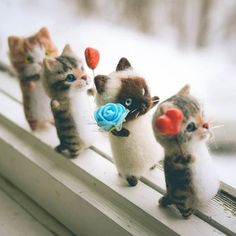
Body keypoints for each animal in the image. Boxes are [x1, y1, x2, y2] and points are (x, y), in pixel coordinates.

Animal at [94, 57, 164, 186]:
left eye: (143, 91)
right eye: (128, 102)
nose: (143, 105)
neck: (137, 120)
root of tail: (143, 171)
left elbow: (152, 104)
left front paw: (155, 99)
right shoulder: (109, 126)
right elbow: (116, 130)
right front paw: (126, 133)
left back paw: (151, 167)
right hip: (129, 171)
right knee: (130, 178)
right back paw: (132, 181)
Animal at [152, 84, 218, 218]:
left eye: (202, 113)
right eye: (190, 127)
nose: (207, 125)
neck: (196, 146)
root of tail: (169, 195)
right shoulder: (175, 155)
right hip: (184, 202)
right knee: (186, 211)